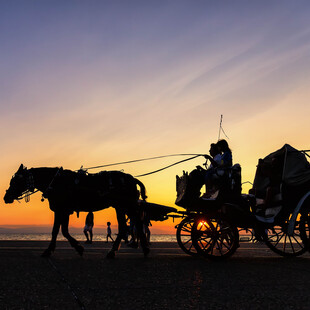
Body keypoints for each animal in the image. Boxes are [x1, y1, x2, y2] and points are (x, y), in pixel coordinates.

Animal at [3, 163, 149, 258]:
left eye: (16, 180)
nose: (6, 197)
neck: (56, 182)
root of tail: (131, 178)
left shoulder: (62, 210)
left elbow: (60, 231)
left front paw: (74, 247)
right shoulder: (62, 210)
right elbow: (59, 230)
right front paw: (68, 247)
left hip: (126, 206)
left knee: (136, 225)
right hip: (121, 207)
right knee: (126, 226)